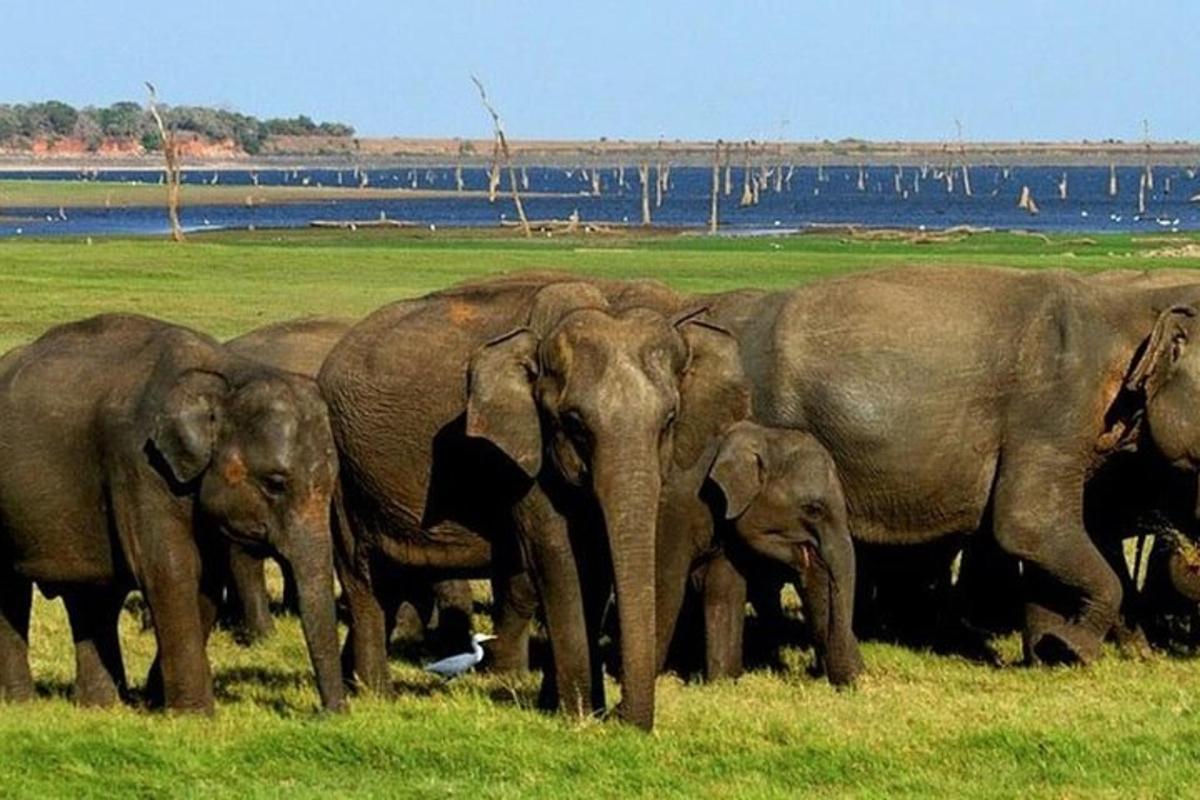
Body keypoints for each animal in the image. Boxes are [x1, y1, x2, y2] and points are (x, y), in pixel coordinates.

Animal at [0, 311, 343, 714]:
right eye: (275, 483)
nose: (333, 712)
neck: (225, 375)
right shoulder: (138, 463)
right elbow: (171, 570)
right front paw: (194, 715)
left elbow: (206, 579)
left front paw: (155, 698)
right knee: (11, 590)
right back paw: (21, 703)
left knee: (91, 593)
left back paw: (100, 705)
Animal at [319, 278, 729, 729]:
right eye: (574, 423)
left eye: (670, 419)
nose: (623, 716)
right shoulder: (521, 456)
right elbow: (560, 559)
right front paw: (578, 716)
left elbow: (595, 565)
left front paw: (565, 707)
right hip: (342, 469)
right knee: (363, 577)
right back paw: (378, 697)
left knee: (389, 581)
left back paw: (357, 683)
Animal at [696, 266, 1200, 666]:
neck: (1132, 309)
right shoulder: (1053, 405)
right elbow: (1026, 524)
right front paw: (1071, 649)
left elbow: (1050, 532)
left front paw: (1049, 655)